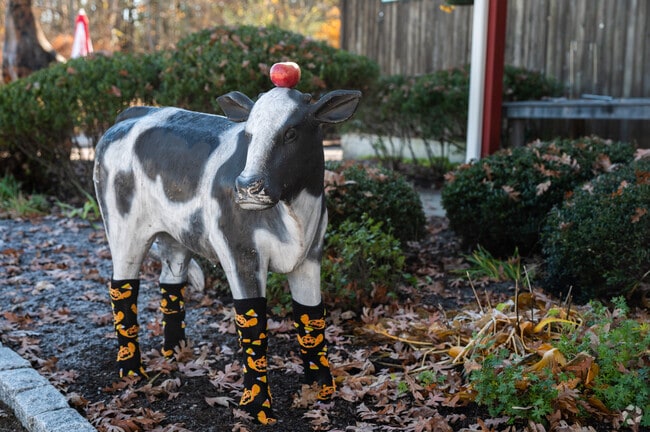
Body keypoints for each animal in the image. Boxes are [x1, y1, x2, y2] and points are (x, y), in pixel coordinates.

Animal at [93, 85, 361, 425]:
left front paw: (322, 391)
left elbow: (311, 318)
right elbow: (253, 325)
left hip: (176, 233)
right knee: (122, 289)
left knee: (170, 281)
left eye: (291, 133)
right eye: (248, 134)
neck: (294, 216)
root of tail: (133, 113)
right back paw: (131, 371)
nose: (248, 187)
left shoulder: (311, 255)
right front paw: (257, 408)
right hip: (123, 227)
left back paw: (176, 353)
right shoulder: (241, 253)